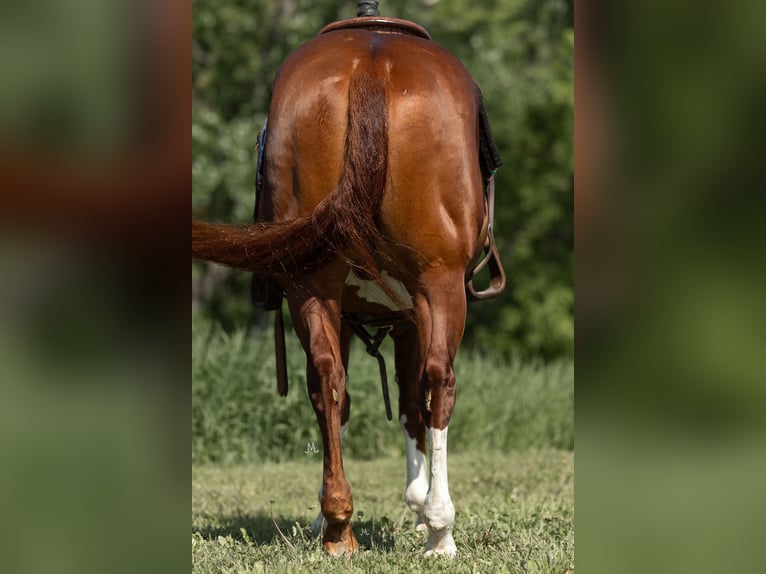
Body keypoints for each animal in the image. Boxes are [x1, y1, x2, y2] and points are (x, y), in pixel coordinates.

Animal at [192, 10, 504, 560]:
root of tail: (370, 67)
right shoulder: (412, 314)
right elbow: (414, 403)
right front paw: (422, 509)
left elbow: (370, 403)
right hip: (439, 285)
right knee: (439, 383)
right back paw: (441, 528)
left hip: (311, 287)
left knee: (325, 380)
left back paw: (338, 523)